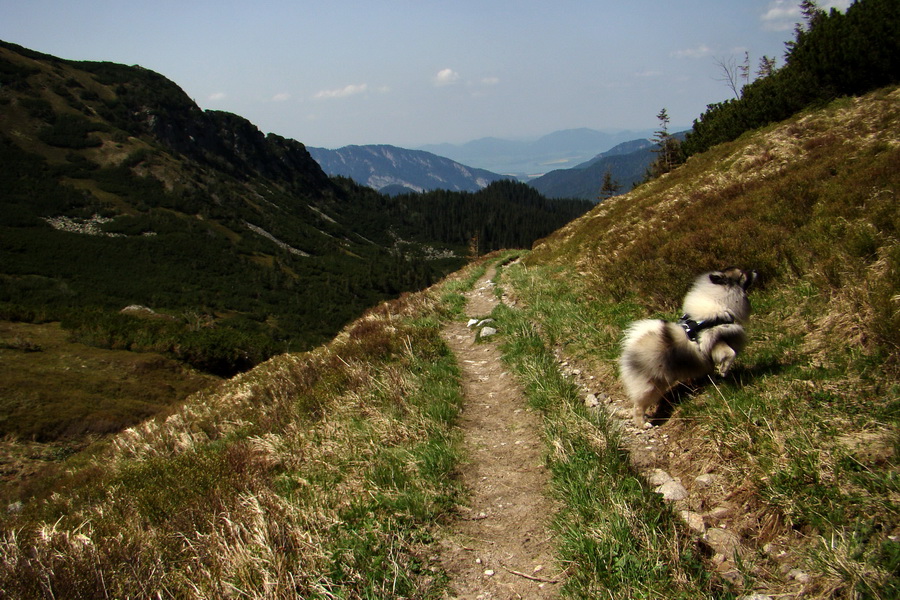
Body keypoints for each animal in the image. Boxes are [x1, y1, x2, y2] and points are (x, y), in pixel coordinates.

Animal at [616, 268, 756, 426]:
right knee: (638, 407)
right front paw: (724, 371)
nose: (754, 271)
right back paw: (643, 423)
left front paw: (715, 379)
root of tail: (632, 347)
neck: (719, 300)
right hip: (651, 387)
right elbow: (730, 353)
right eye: (741, 274)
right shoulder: (715, 340)